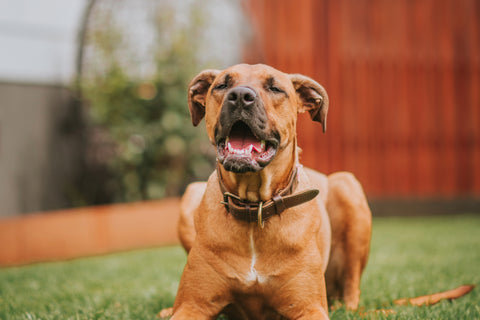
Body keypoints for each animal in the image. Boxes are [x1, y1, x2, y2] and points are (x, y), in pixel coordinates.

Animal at [171, 63, 374, 318]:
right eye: (222, 85)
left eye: (275, 88)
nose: (240, 96)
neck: (254, 205)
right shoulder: (191, 305)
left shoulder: (309, 308)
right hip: (190, 193)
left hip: (347, 185)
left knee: (351, 286)